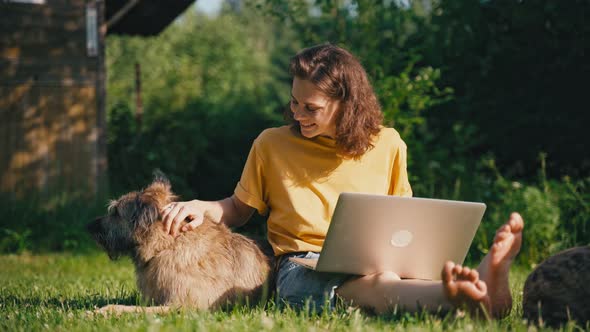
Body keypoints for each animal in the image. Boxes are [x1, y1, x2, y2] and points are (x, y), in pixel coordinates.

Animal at [86, 172, 274, 312]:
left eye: (115, 213)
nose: (89, 227)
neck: (167, 245)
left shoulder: (182, 306)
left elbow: (129, 309)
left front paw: (99, 312)